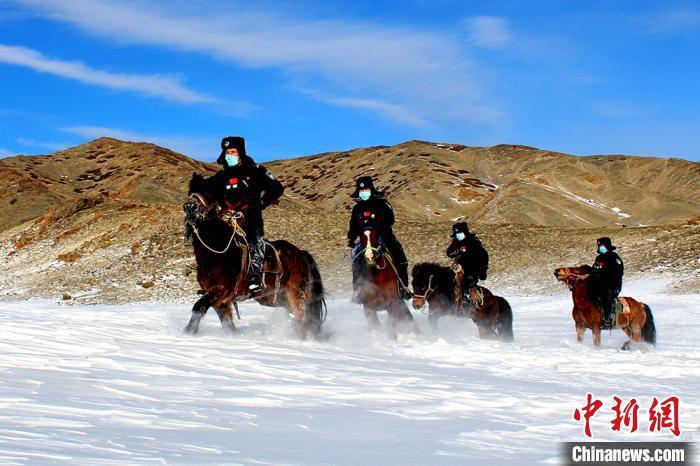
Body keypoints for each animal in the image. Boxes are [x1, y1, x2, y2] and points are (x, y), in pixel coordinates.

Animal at [178, 172, 326, 338]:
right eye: (190, 192)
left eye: (208, 192)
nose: (190, 207)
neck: (215, 255)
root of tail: (302, 254)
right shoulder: (220, 302)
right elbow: (228, 325)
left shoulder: (219, 290)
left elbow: (198, 307)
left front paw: (187, 332)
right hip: (277, 298)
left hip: (296, 295)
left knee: (303, 320)